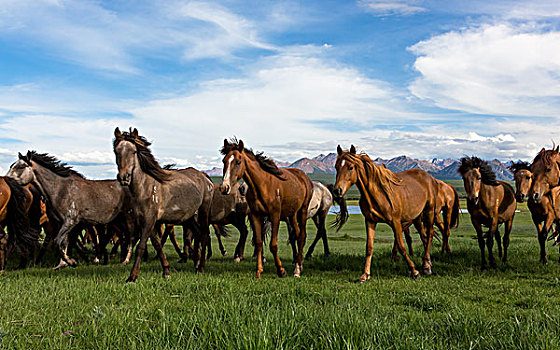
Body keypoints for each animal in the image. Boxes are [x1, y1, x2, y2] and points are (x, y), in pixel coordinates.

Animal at [112, 127, 213, 284]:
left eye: (134, 151)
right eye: (116, 151)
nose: (124, 177)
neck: (145, 188)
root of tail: (204, 177)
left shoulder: (149, 220)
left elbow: (141, 246)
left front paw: (132, 276)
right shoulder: (146, 222)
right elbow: (157, 245)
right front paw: (166, 271)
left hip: (203, 211)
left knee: (204, 235)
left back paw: (201, 267)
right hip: (189, 217)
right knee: (197, 234)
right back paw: (196, 265)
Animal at [220, 138, 316, 278]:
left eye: (238, 161)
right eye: (224, 161)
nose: (224, 187)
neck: (263, 185)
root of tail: (304, 177)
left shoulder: (274, 216)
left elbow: (273, 245)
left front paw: (281, 270)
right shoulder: (256, 215)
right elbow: (259, 243)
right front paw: (259, 271)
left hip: (302, 211)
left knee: (302, 236)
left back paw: (297, 270)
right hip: (292, 214)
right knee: (298, 235)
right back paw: (300, 264)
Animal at [334, 146, 440, 282]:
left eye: (351, 167)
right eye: (336, 167)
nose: (337, 190)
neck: (378, 193)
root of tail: (430, 178)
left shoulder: (396, 222)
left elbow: (401, 246)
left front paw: (414, 271)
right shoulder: (370, 221)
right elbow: (369, 247)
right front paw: (365, 275)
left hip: (429, 211)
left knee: (430, 234)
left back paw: (426, 267)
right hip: (417, 218)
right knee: (424, 237)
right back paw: (427, 263)